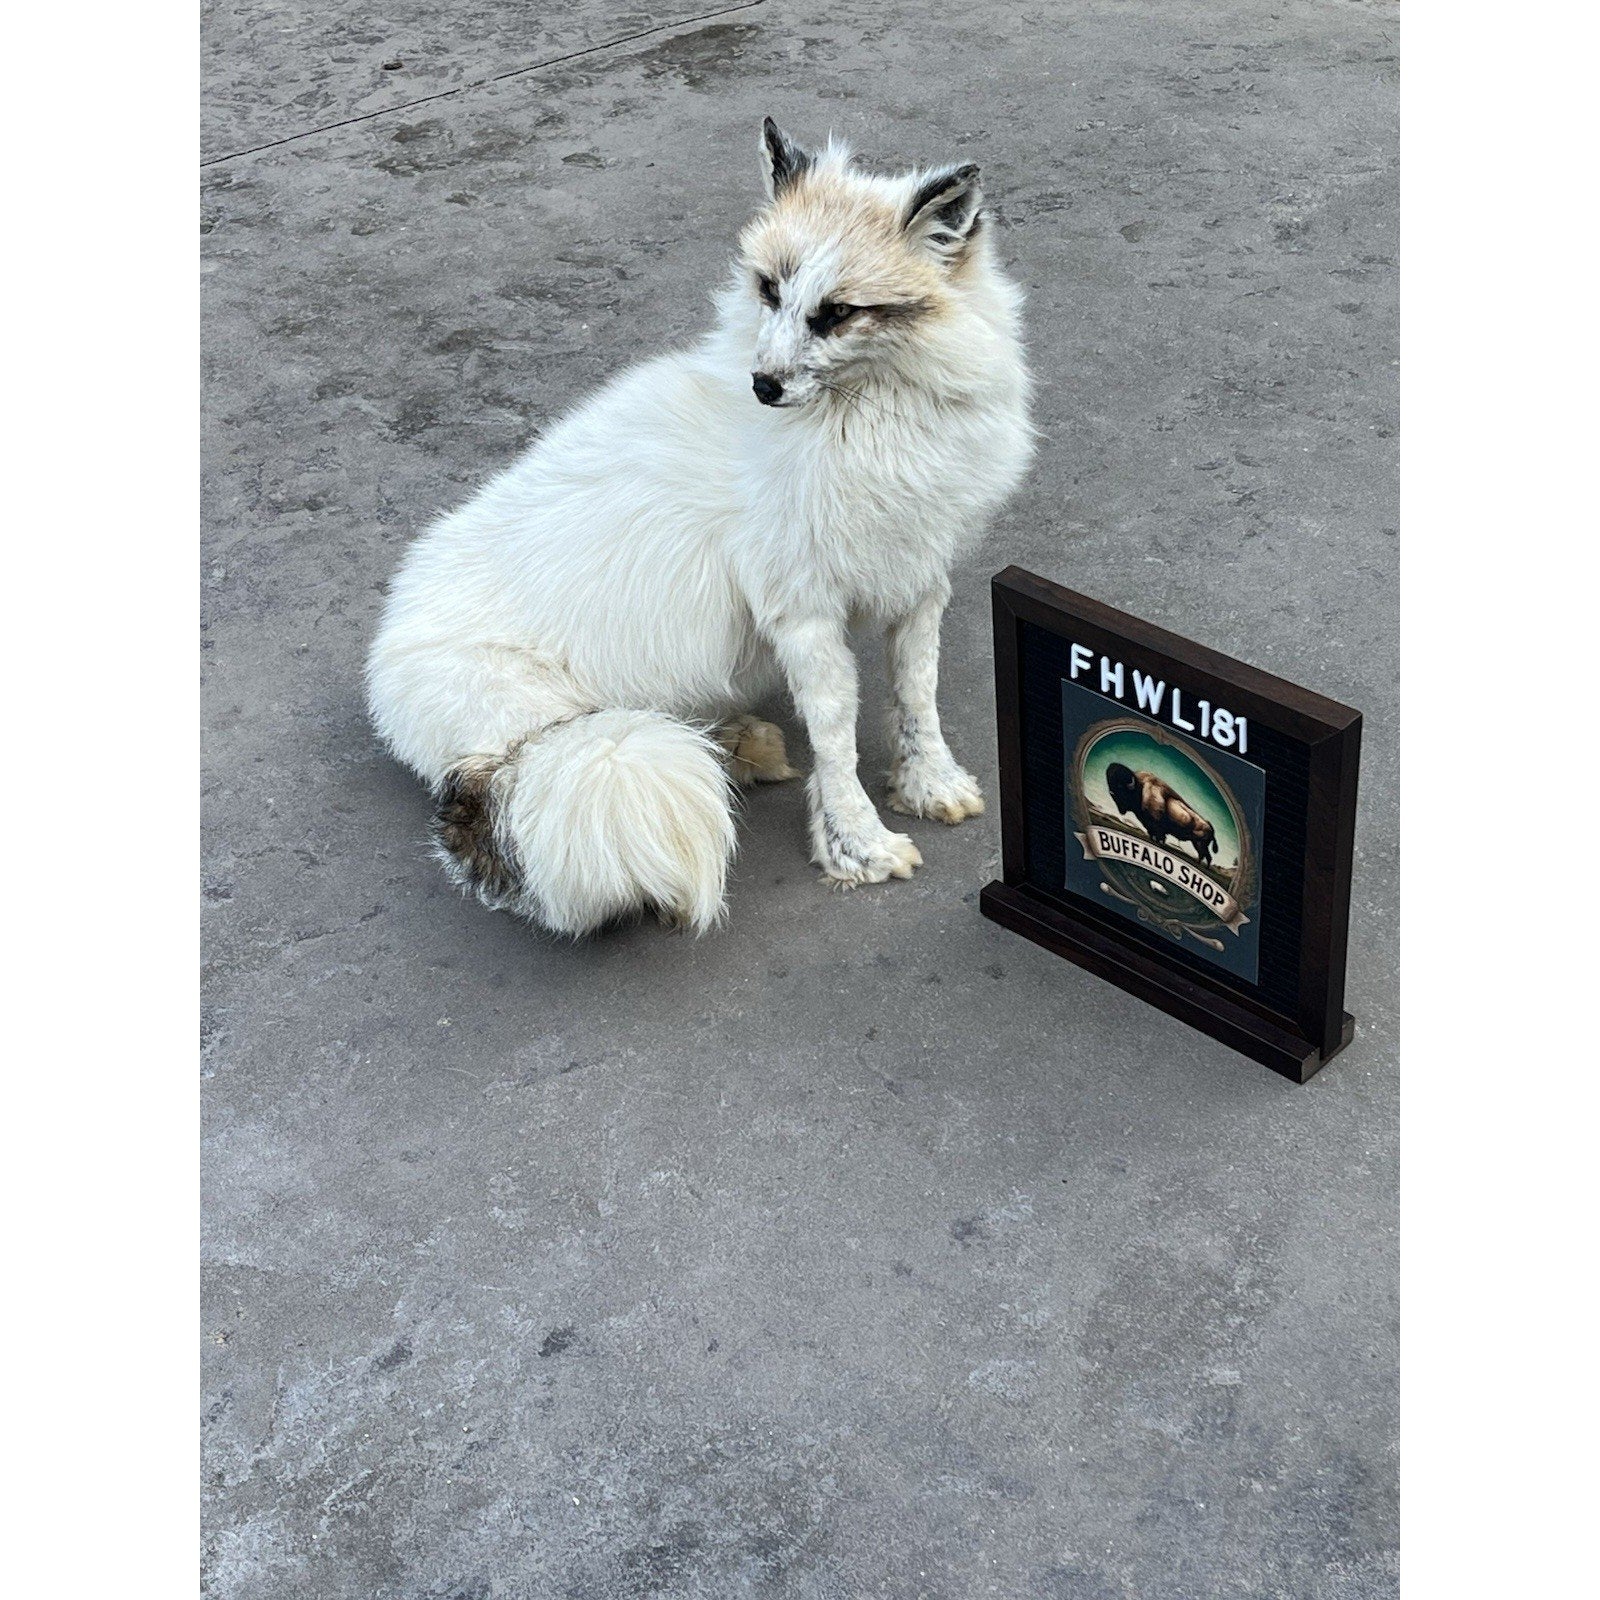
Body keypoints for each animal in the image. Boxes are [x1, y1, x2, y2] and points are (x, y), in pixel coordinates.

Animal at [366, 119, 1035, 935]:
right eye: (769, 289)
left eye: (838, 310)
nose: (763, 385)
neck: (877, 423)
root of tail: (383, 669)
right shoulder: (802, 609)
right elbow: (838, 735)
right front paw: (858, 843)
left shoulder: (919, 577)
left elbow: (917, 696)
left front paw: (928, 785)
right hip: (565, 727)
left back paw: (738, 744)